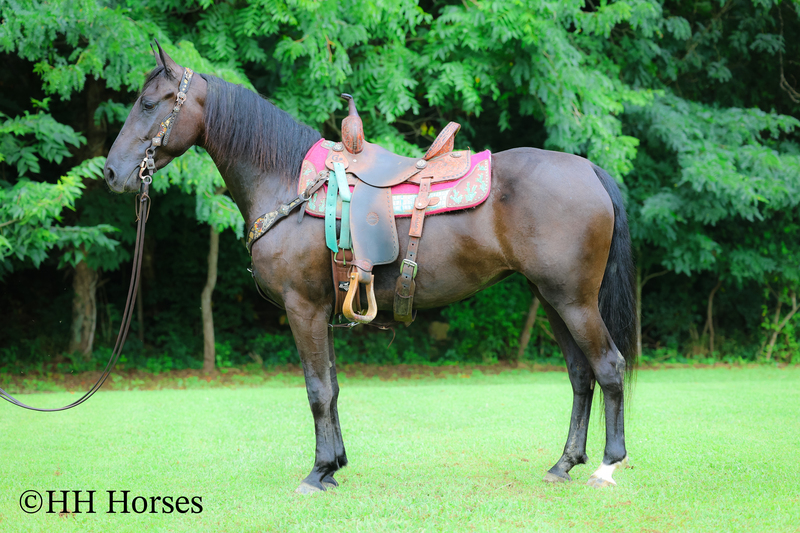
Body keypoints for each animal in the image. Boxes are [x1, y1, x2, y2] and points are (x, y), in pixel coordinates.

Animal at [104, 45, 637, 494]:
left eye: (148, 103)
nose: (111, 172)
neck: (289, 184)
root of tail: (589, 170)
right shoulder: (324, 310)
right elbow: (334, 387)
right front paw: (335, 465)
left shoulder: (303, 308)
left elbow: (317, 389)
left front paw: (317, 472)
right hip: (552, 300)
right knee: (581, 375)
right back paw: (564, 464)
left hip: (573, 300)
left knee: (608, 367)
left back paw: (608, 466)